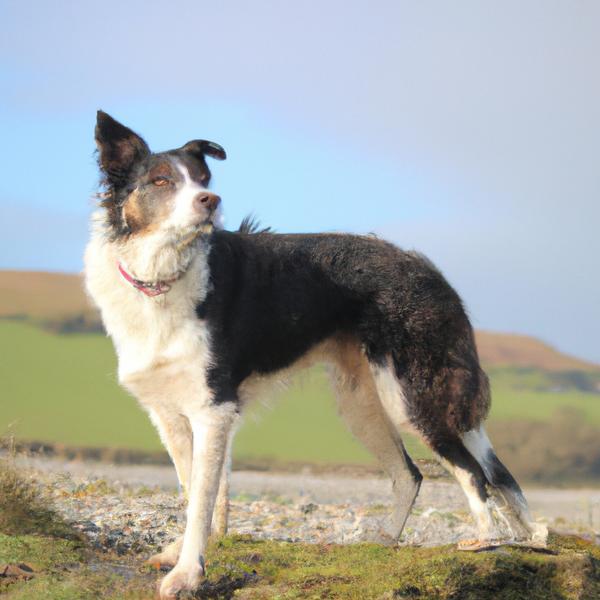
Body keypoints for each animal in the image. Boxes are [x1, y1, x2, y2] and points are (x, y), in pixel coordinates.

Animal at [85, 110, 548, 596]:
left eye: (203, 179)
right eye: (160, 181)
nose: (210, 201)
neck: (163, 274)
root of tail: (430, 271)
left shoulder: (214, 408)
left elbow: (203, 500)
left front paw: (188, 573)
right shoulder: (171, 414)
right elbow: (195, 491)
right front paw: (181, 555)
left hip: (410, 399)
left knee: (472, 472)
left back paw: (485, 540)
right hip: (362, 405)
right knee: (419, 474)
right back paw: (396, 541)